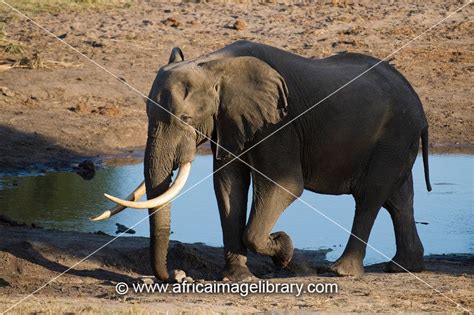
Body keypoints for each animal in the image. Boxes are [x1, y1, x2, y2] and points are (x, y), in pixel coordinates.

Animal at [90, 40, 432, 284]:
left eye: (185, 119)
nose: (176, 276)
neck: (216, 65)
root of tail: (419, 104)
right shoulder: (229, 121)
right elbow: (228, 185)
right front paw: (238, 278)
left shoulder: (279, 123)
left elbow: (285, 186)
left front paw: (285, 250)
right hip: (398, 142)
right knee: (399, 198)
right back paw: (402, 267)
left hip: (393, 135)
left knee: (370, 197)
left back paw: (340, 271)